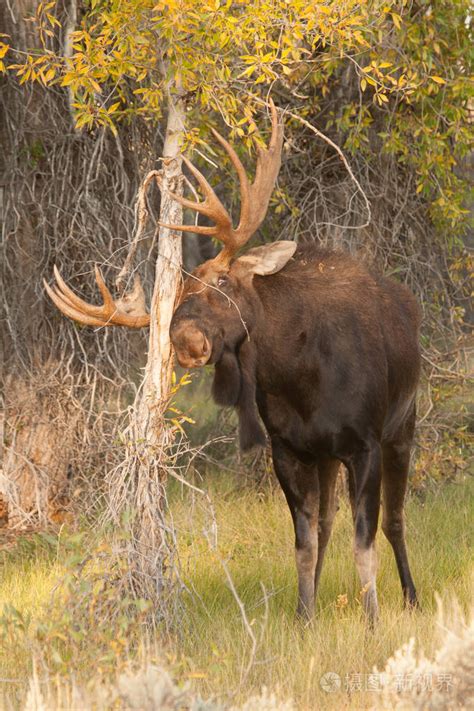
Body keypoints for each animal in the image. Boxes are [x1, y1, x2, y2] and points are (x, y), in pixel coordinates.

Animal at [45, 101, 422, 624]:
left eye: (222, 280)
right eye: (174, 306)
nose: (185, 340)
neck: (302, 383)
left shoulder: (364, 442)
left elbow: (365, 541)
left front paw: (372, 621)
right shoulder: (288, 449)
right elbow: (304, 542)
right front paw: (304, 615)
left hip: (402, 426)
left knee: (396, 521)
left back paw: (411, 595)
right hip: (328, 455)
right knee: (328, 523)